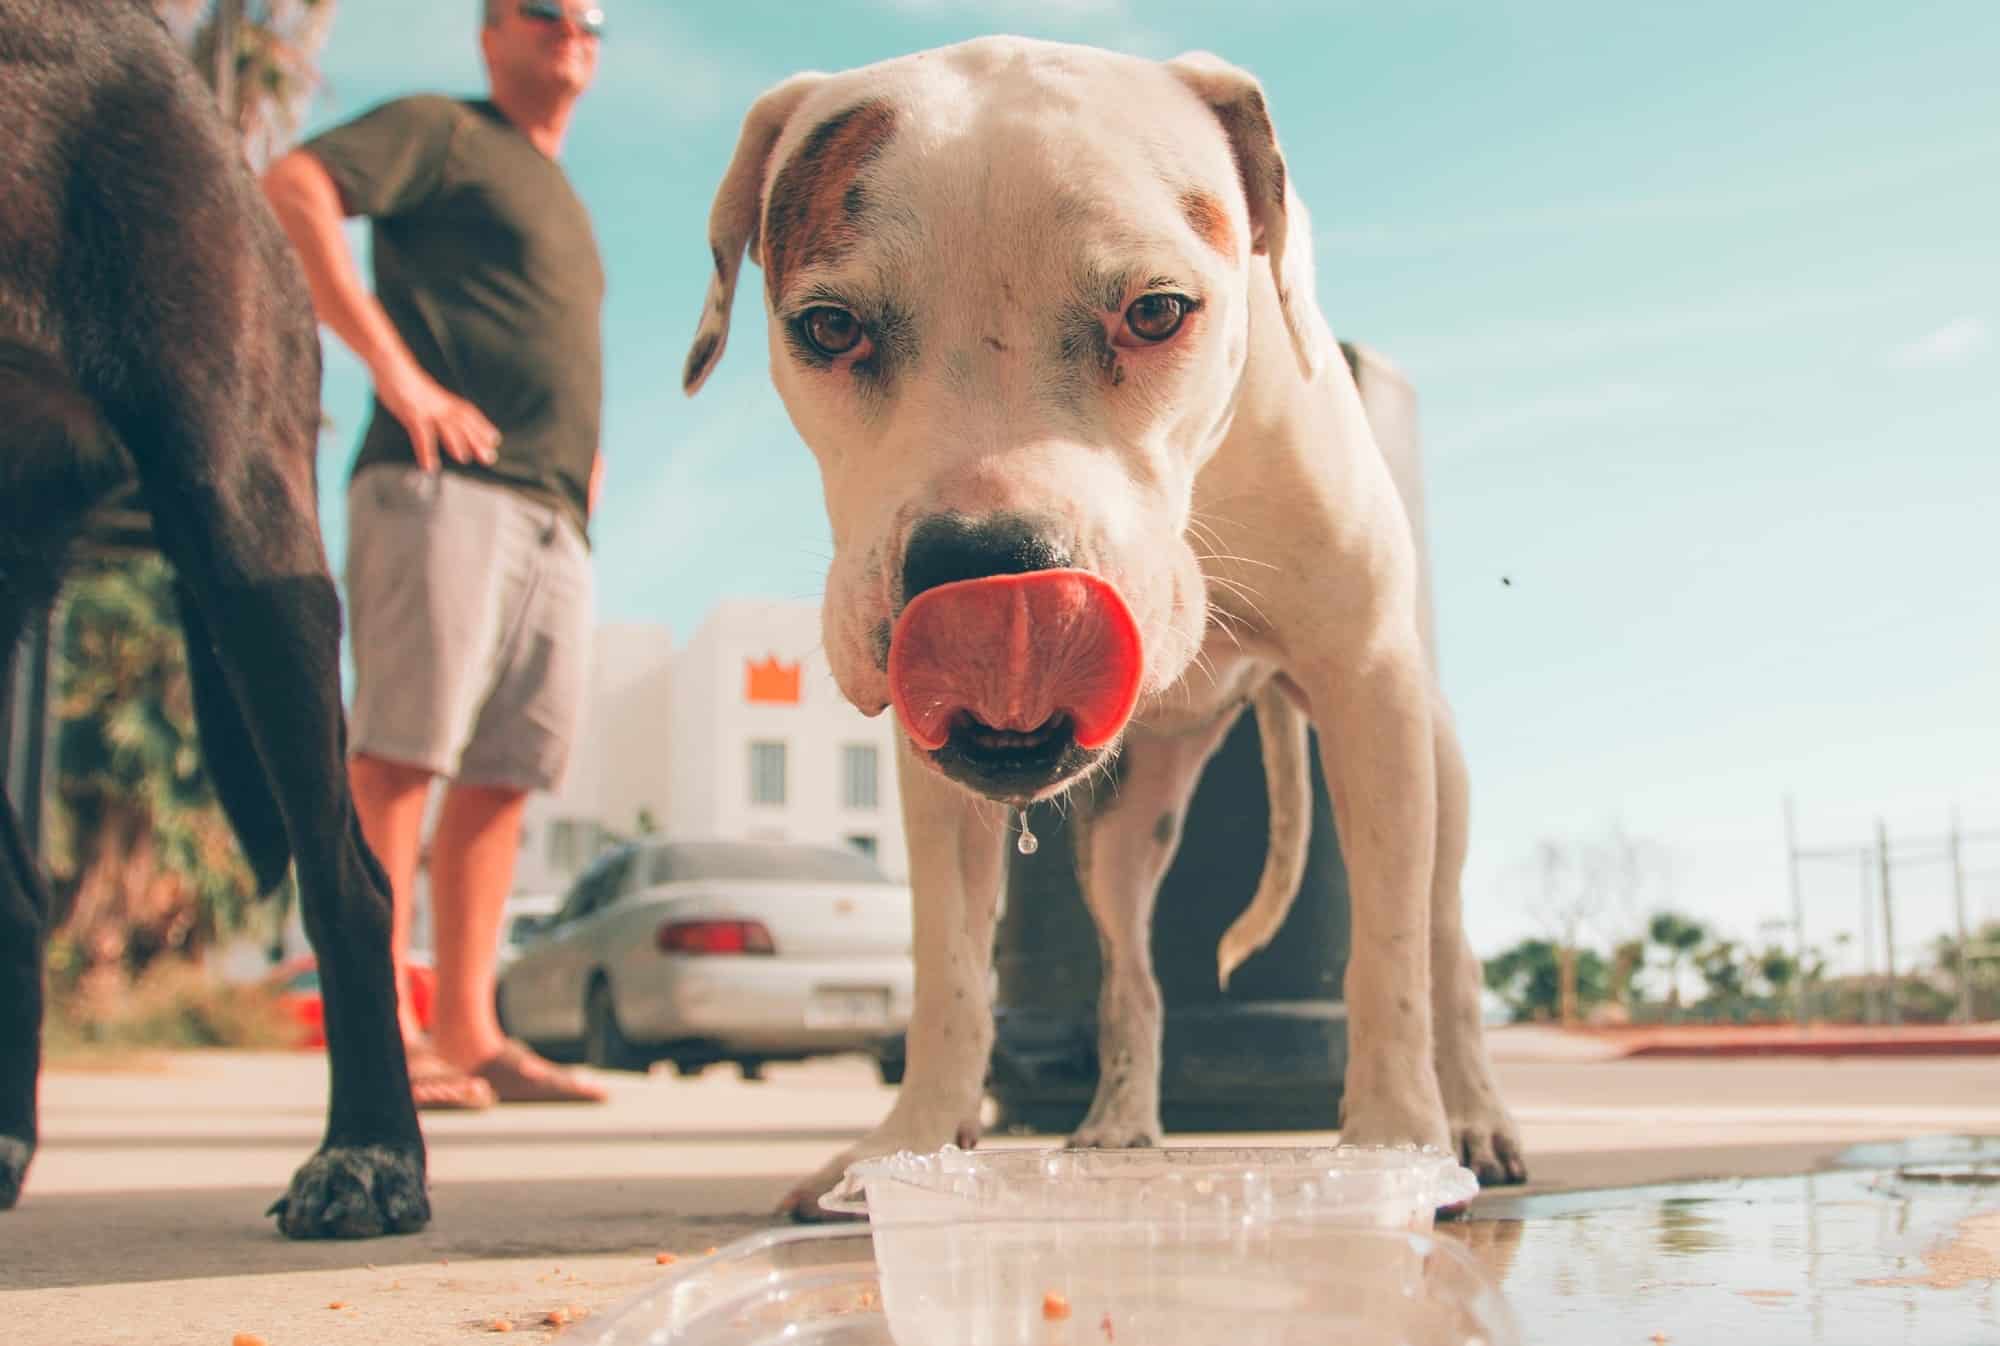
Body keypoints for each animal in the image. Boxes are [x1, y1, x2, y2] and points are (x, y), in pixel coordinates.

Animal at [680, 34, 1520, 1216]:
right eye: (828, 327)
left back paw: (1477, 1119)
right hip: (1125, 832)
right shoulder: (935, 784)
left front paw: (1396, 1142)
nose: (986, 569)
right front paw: (909, 1143)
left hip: (1430, 767)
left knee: (1445, 949)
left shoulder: (1368, 689)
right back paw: (1119, 1123)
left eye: (1158, 311)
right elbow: (948, 970)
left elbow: (1387, 957)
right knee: (1132, 974)